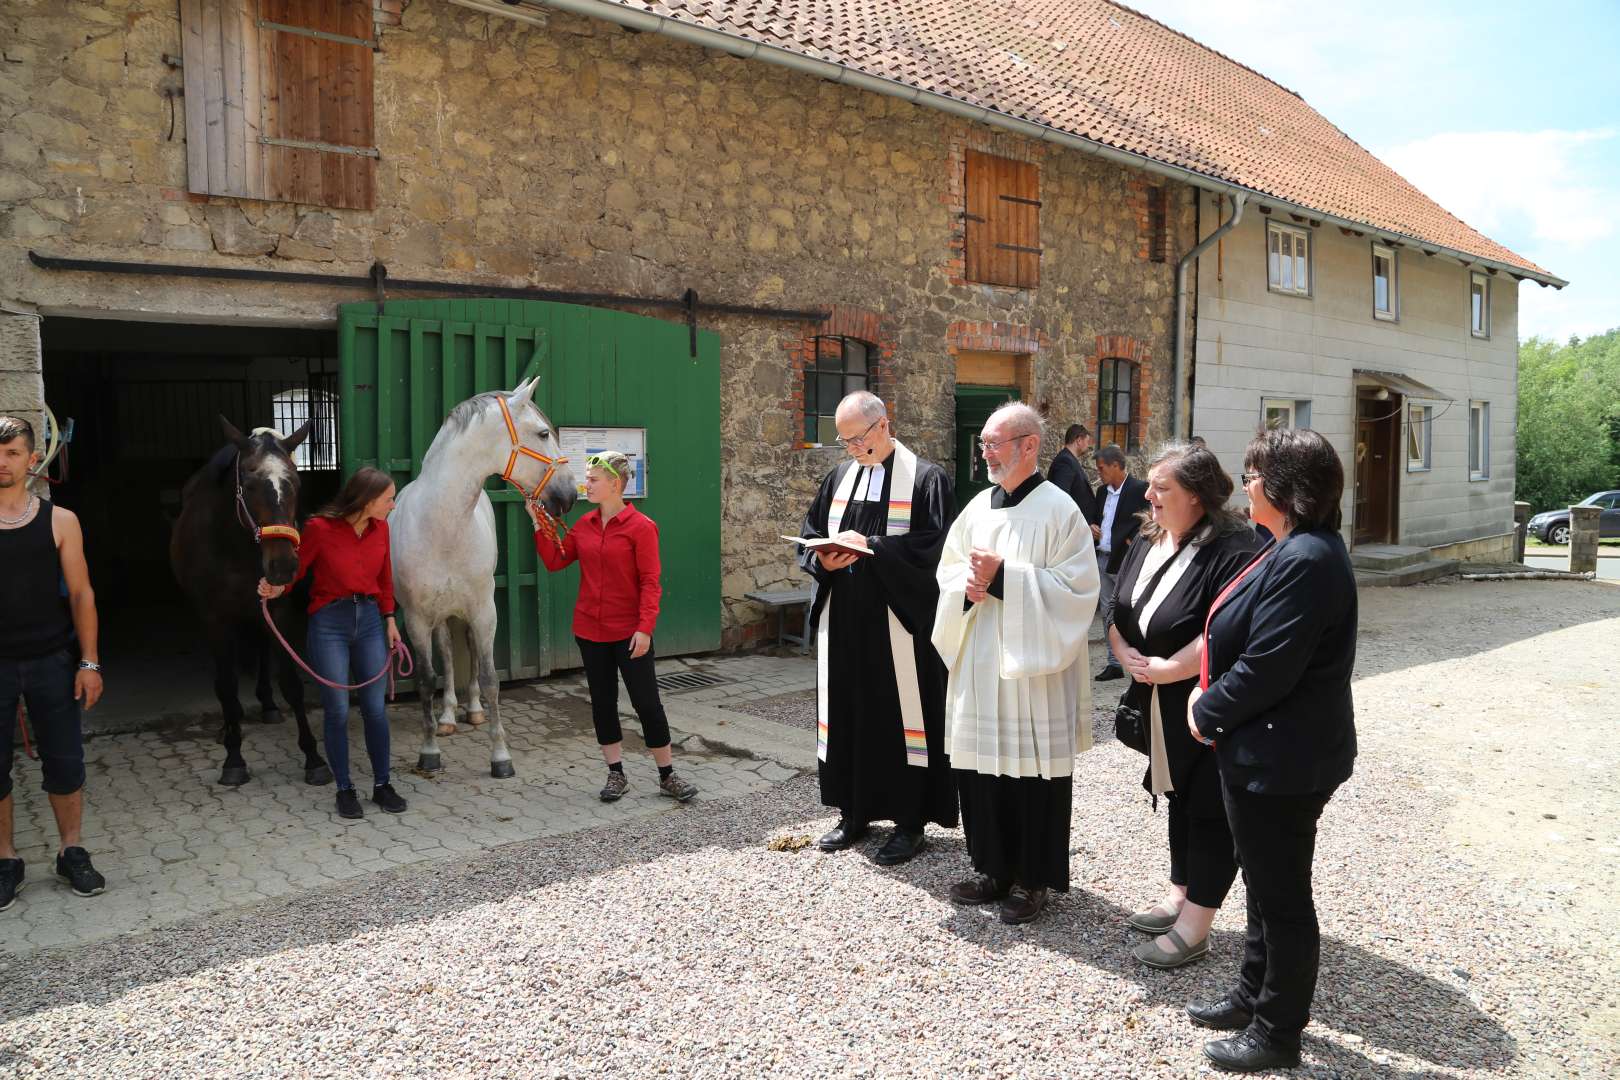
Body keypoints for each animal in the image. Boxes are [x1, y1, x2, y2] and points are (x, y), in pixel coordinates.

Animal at [170, 420, 328, 786]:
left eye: (296, 482)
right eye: (251, 485)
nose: (283, 565)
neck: (235, 547)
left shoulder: (278, 611)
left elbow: (292, 685)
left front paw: (313, 759)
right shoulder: (215, 619)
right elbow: (227, 686)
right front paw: (234, 759)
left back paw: (267, 706)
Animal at [390, 380, 579, 777]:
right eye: (542, 433)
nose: (569, 494)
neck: (443, 525)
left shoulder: (484, 611)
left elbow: (491, 679)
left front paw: (501, 757)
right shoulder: (416, 619)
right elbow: (427, 680)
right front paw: (429, 751)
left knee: (471, 653)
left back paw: (472, 710)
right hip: (440, 617)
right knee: (447, 654)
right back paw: (448, 717)